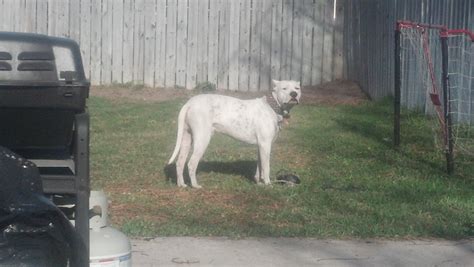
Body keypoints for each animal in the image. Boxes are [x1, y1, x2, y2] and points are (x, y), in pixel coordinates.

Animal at [168, 80, 300, 188]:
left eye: (297, 88)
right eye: (284, 88)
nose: (294, 94)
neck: (272, 106)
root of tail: (189, 103)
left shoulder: (261, 146)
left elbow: (260, 166)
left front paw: (259, 182)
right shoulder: (266, 145)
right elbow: (266, 167)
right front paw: (268, 184)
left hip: (186, 138)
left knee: (180, 162)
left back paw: (181, 184)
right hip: (202, 140)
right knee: (191, 164)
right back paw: (195, 185)